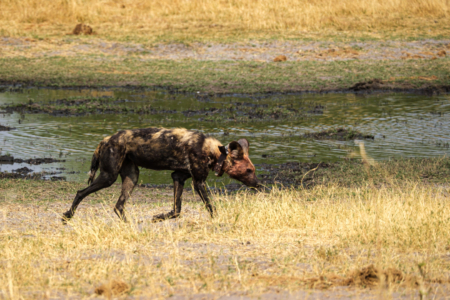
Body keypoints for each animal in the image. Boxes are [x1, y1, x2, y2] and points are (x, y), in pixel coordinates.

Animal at [63, 126, 260, 223]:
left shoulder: (178, 177)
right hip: (108, 177)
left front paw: (159, 217)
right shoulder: (198, 182)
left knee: (118, 206)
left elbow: (177, 210)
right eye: (249, 170)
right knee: (81, 192)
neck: (215, 153)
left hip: (132, 177)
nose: (258, 185)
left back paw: (128, 225)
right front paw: (218, 220)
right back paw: (67, 216)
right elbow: (210, 206)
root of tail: (105, 140)